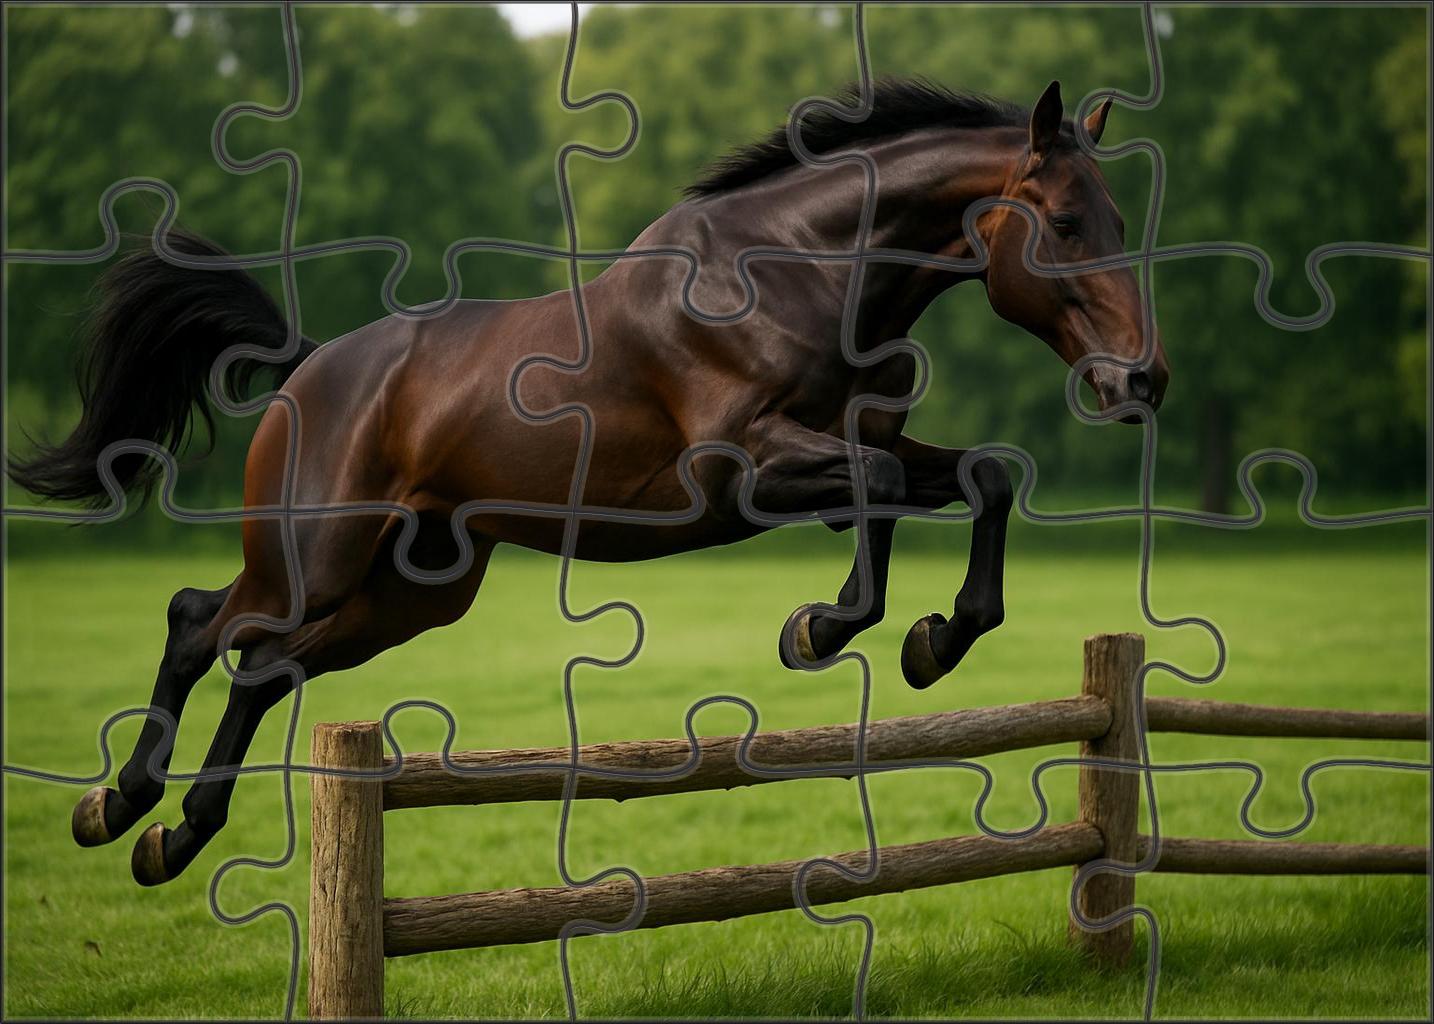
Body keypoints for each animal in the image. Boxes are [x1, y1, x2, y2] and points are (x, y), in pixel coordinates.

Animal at [10, 78, 1168, 885]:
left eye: (1118, 222)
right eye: (1069, 226)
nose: (1141, 379)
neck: (807, 274)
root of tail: (309, 366)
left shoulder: (859, 445)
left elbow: (981, 477)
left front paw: (932, 640)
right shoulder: (744, 467)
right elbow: (880, 491)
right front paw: (826, 628)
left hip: (411, 591)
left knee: (262, 667)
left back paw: (167, 833)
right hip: (318, 556)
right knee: (201, 625)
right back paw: (124, 810)